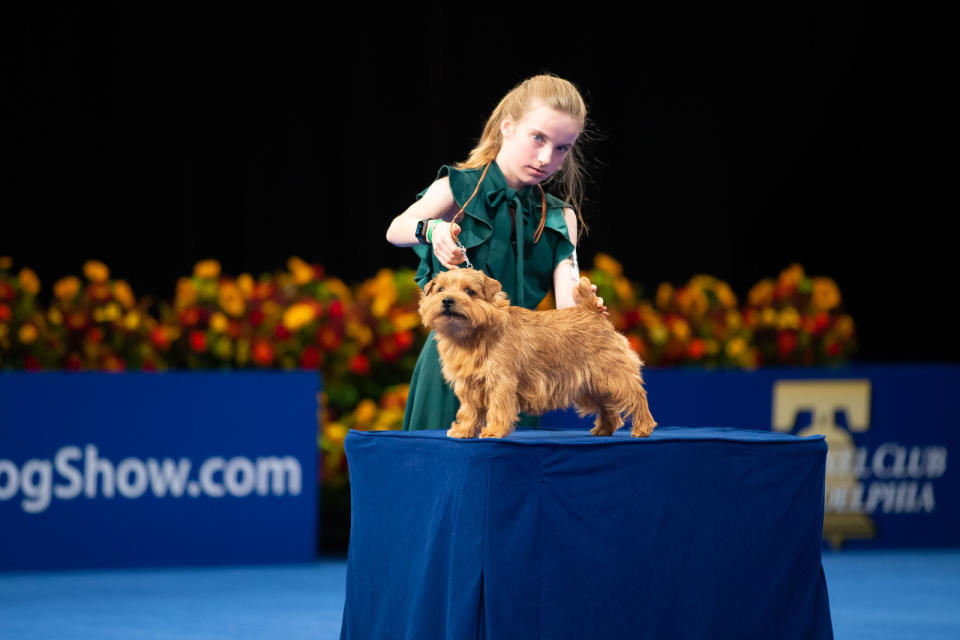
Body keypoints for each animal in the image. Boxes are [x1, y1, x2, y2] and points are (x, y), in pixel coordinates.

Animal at [422, 268, 660, 438]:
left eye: (469, 291)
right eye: (440, 289)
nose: (447, 300)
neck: (472, 336)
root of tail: (592, 310)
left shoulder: (501, 381)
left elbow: (498, 407)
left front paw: (494, 431)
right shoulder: (468, 385)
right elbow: (469, 410)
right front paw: (464, 431)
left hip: (614, 375)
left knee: (637, 396)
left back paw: (643, 428)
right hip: (593, 383)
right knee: (607, 404)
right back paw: (604, 429)